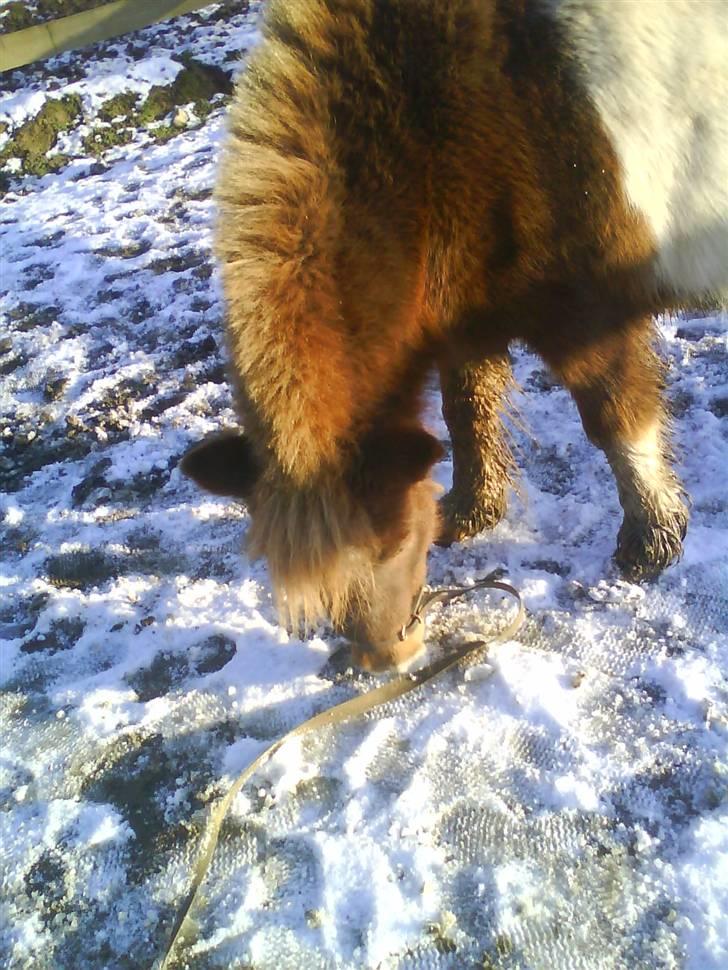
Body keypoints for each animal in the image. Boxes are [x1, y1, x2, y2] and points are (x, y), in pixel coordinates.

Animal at [181, 0, 724, 664]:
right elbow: (467, 411)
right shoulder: (466, 317)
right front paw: (470, 512)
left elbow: (616, 420)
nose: (386, 659)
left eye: (390, 547)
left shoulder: (585, 319)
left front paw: (651, 543)